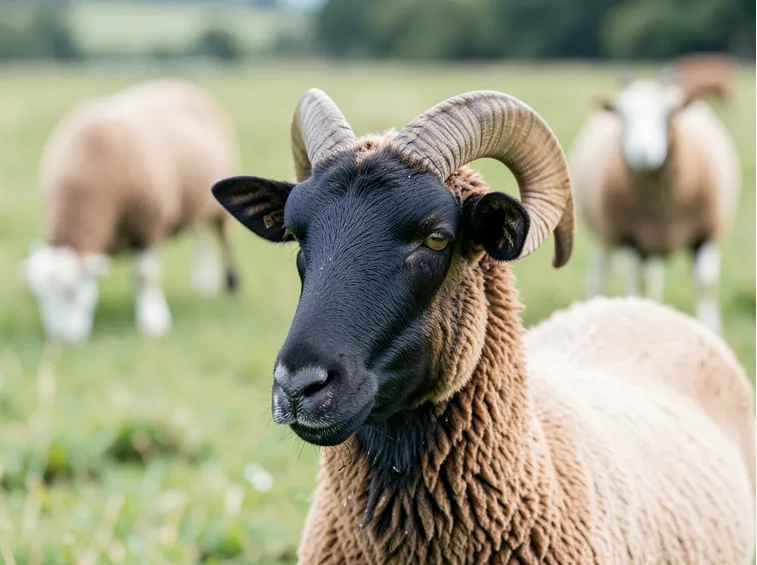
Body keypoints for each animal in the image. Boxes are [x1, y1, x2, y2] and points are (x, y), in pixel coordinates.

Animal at [20, 79, 241, 343]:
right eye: (40, 295)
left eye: (73, 292)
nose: (61, 339)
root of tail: (183, 85)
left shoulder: (149, 226)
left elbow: (145, 276)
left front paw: (153, 322)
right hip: (194, 202)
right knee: (201, 237)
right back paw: (204, 284)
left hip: (222, 200)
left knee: (225, 239)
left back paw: (231, 286)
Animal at [569, 73, 741, 335]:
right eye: (623, 115)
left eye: (670, 112)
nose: (642, 154)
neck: (662, 204)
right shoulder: (629, 236)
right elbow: (637, 284)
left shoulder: (708, 231)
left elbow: (705, 285)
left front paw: (711, 329)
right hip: (607, 233)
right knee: (603, 270)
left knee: (652, 278)